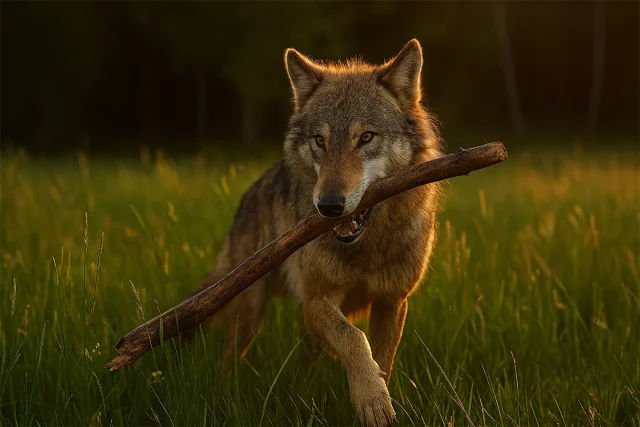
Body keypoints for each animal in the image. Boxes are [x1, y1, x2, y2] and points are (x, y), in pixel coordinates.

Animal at [193, 39, 443, 426]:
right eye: (319, 140)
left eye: (366, 137)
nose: (328, 205)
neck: (366, 247)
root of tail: (250, 193)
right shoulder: (317, 301)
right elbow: (354, 338)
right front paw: (372, 399)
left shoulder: (392, 303)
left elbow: (380, 360)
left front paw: (378, 398)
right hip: (249, 314)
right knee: (228, 359)